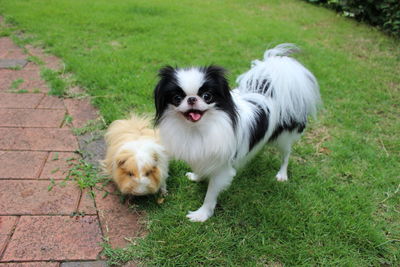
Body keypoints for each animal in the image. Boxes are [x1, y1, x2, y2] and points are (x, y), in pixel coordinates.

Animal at [153, 44, 322, 222]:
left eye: (207, 96)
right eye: (177, 98)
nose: (192, 99)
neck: (198, 128)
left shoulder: (222, 170)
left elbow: (210, 195)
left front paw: (202, 214)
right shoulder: (201, 154)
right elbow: (202, 169)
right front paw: (197, 177)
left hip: (284, 138)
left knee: (286, 155)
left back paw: (282, 174)